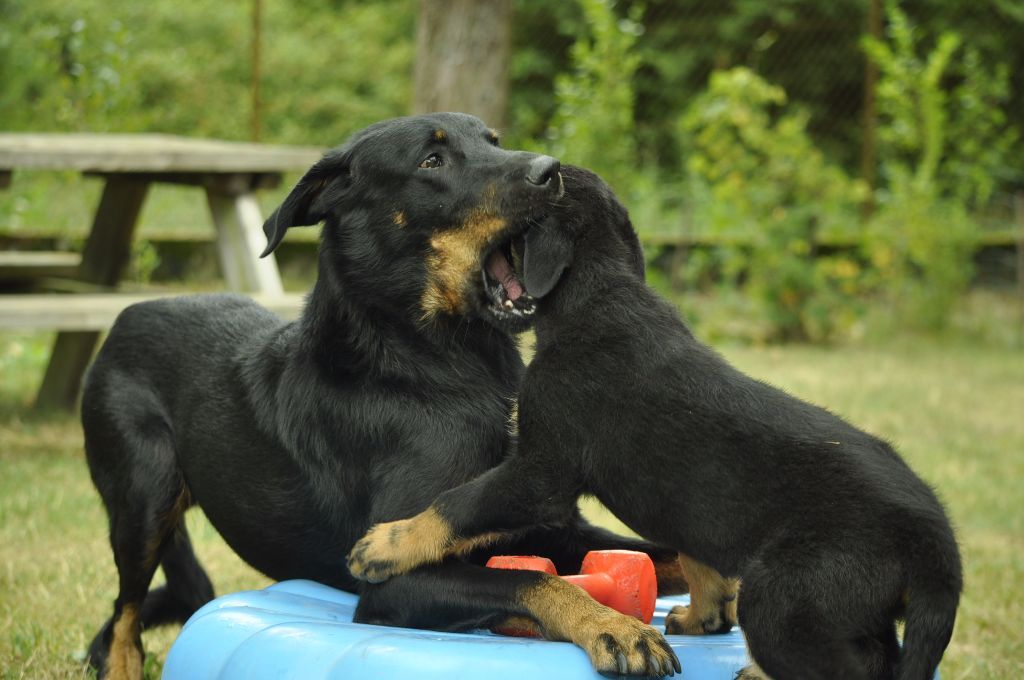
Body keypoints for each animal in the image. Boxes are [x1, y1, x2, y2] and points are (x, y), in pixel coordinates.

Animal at [81, 116, 688, 680]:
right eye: (432, 160)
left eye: (492, 140)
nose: (551, 171)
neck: (439, 362)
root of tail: (126, 316)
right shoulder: (392, 581)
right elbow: (533, 579)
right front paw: (614, 627)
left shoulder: (551, 526)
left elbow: (670, 553)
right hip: (145, 496)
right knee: (125, 616)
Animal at [348, 165, 962, 680]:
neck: (600, 293)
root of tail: (937, 544)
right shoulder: (683, 504)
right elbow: (695, 550)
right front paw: (704, 615)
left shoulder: (541, 470)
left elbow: (459, 503)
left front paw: (386, 544)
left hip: (787, 597)